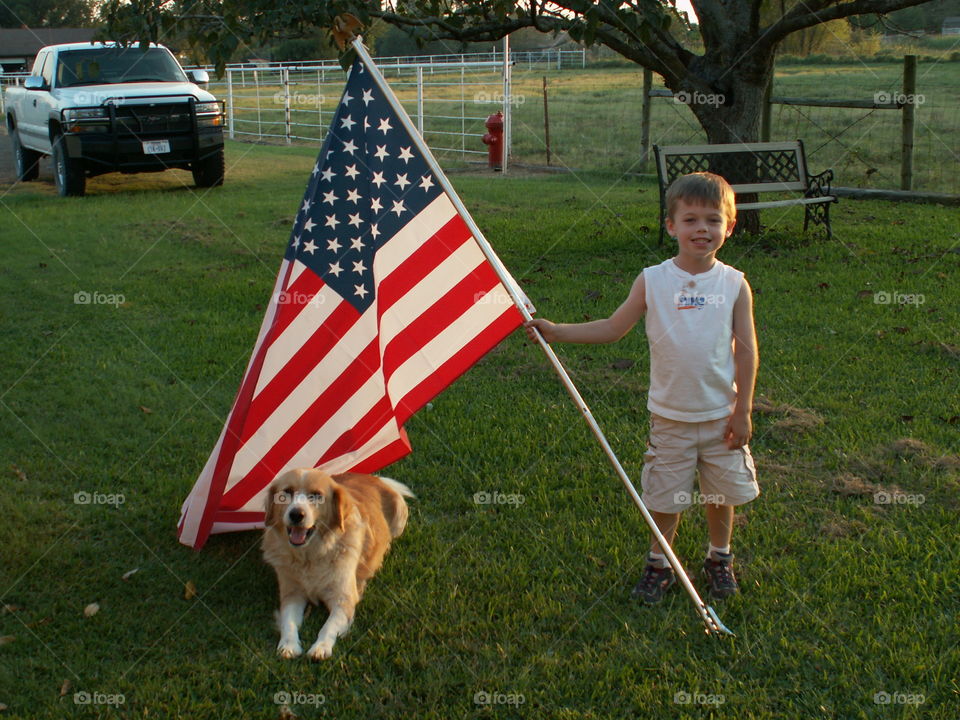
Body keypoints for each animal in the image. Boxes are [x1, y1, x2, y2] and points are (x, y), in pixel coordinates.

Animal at [262, 466, 412, 660]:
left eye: (316, 495)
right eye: (286, 492)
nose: (296, 514)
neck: (310, 556)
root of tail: (375, 479)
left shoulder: (344, 599)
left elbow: (328, 626)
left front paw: (321, 647)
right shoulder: (292, 594)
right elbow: (289, 622)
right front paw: (288, 645)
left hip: (400, 515)